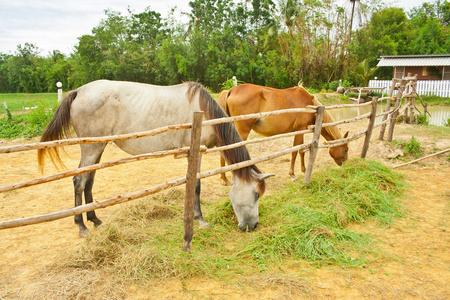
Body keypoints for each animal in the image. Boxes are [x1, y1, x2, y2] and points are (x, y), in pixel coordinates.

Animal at [37, 81, 270, 238]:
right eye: (256, 194)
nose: (253, 225)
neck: (204, 112)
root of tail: (79, 91)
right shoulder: (196, 152)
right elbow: (196, 186)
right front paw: (200, 220)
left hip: (98, 148)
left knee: (89, 181)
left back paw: (94, 220)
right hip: (91, 148)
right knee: (79, 181)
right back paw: (82, 225)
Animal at [217, 83, 348, 184]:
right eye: (346, 149)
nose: (344, 163)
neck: (311, 105)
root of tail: (230, 91)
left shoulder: (301, 130)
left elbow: (301, 151)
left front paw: (304, 170)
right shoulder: (300, 130)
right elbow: (295, 151)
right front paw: (292, 175)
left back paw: (224, 178)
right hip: (242, 131)